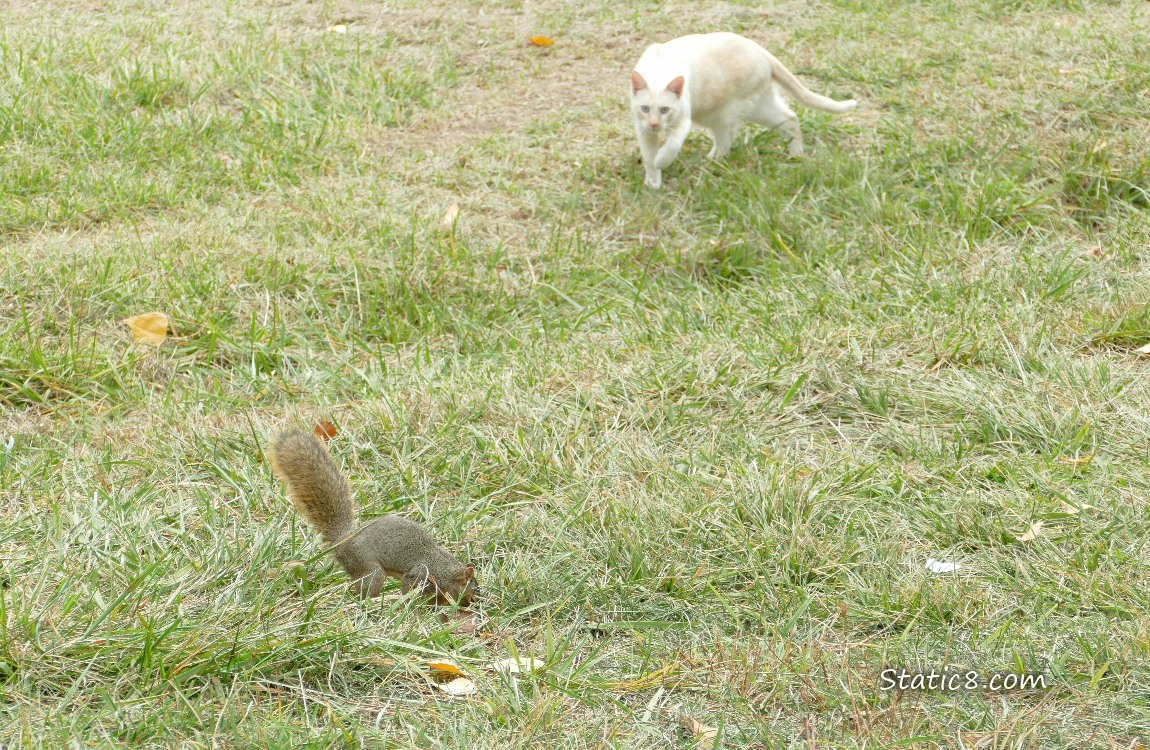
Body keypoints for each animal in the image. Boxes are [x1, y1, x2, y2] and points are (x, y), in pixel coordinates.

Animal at [269, 425, 476, 607]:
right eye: (471, 587)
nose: (472, 602)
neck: (444, 568)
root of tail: (342, 541)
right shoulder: (420, 573)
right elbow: (409, 589)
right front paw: (411, 606)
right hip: (367, 567)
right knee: (365, 588)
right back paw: (375, 603)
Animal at [630, 33, 855, 188]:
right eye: (645, 108)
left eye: (665, 110)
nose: (654, 124)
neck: (659, 72)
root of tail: (760, 50)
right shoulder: (642, 130)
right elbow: (649, 157)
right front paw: (653, 181)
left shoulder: (683, 122)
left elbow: (670, 147)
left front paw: (661, 161)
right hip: (760, 108)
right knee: (791, 119)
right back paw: (795, 154)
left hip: (722, 115)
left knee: (726, 143)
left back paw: (709, 162)